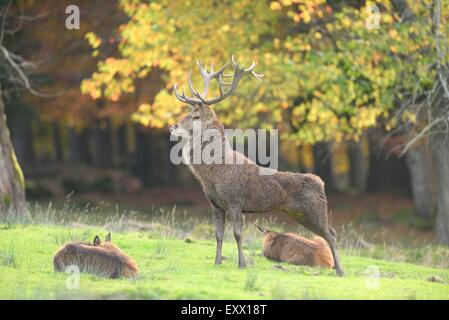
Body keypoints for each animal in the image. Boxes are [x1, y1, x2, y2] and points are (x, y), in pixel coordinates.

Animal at [170, 55, 344, 276]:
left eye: (195, 116)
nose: (173, 126)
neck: (212, 175)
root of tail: (321, 183)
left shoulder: (235, 201)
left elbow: (237, 234)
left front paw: (241, 264)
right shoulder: (215, 204)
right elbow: (218, 235)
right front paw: (217, 262)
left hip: (316, 210)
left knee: (331, 233)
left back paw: (340, 271)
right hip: (301, 214)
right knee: (329, 233)